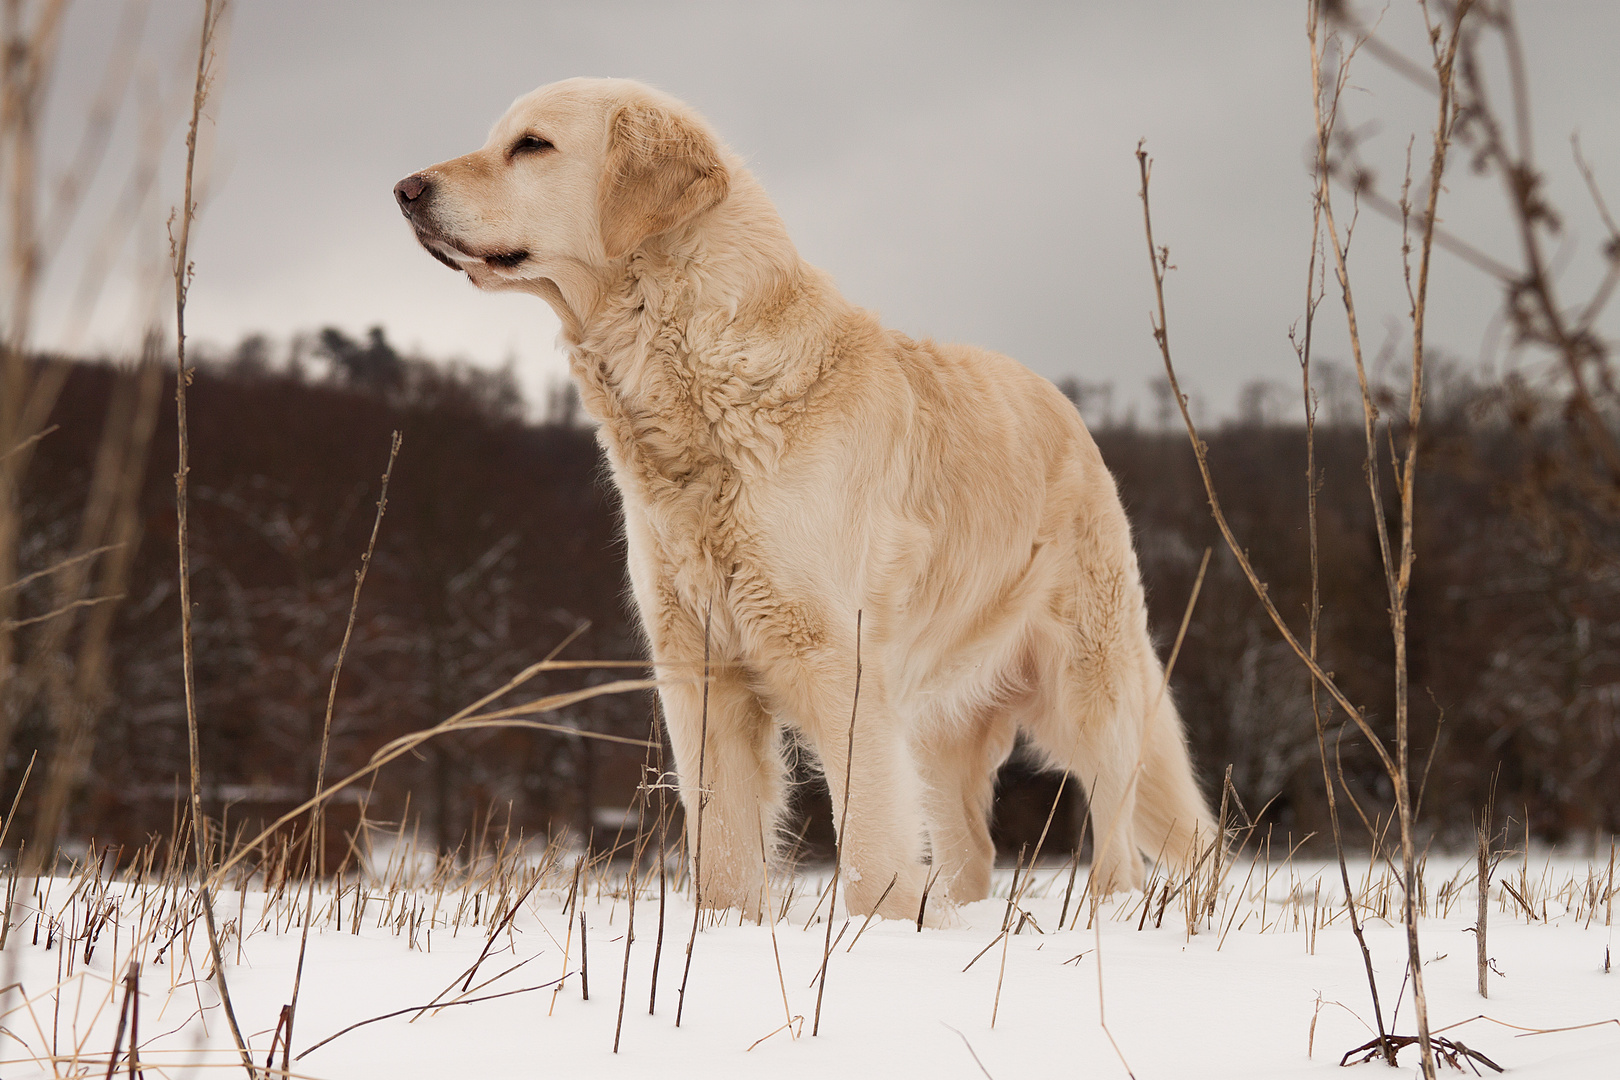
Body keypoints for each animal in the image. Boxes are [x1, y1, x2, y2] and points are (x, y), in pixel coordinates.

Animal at [395, 76, 1218, 919]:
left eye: (531, 145)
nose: (405, 190)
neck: (700, 380)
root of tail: (1065, 406)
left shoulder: (839, 668)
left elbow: (870, 851)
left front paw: (876, 932)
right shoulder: (701, 675)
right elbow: (724, 852)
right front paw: (728, 929)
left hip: (1089, 691)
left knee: (1117, 841)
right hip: (939, 729)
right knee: (973, 851)